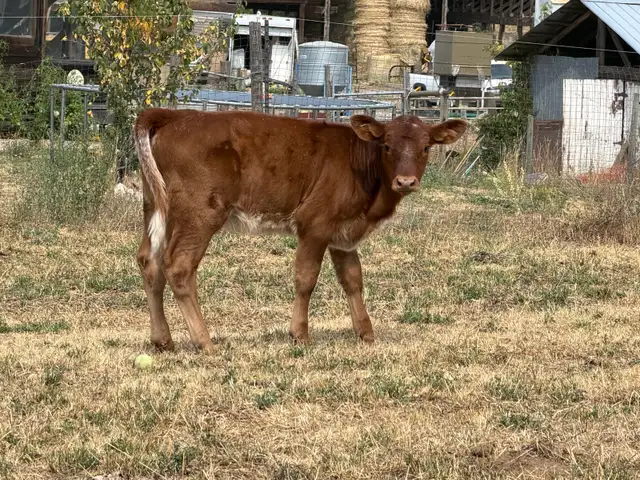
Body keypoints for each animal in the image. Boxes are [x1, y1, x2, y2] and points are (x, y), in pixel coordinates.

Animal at [133, 109, 467, 354]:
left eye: (426, 147)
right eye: (387, 145)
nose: (406, 181)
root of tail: (175, 114)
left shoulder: (343, 235)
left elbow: (353, 280)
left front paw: (366, 332)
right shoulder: (314, 224)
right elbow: (306, 279)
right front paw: (300, 335)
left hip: (155, 207)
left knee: (150, 262)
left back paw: (162, 340)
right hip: (200, 213)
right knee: (179, 267)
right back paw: (204, 341)